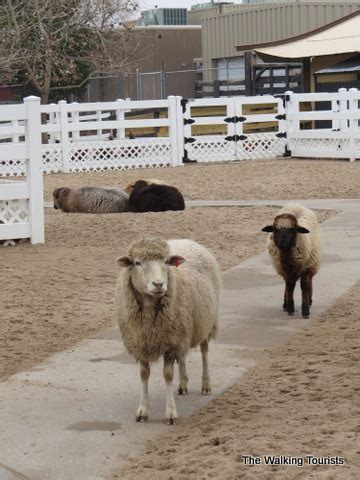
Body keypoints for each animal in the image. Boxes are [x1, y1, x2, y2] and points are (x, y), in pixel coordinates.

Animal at [116, 237, 221, 424]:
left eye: (166, 262)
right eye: (137, 262)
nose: (159, 284)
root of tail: (187, 240)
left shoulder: (171, 345)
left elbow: (168, 375)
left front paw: (171, 413)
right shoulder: (142, 343)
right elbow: (144, 374)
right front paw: (142, 411)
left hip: (205, 323)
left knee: (204, 352)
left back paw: (206, 384)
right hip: (183, 330)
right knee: (183, 356)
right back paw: (183, 384)